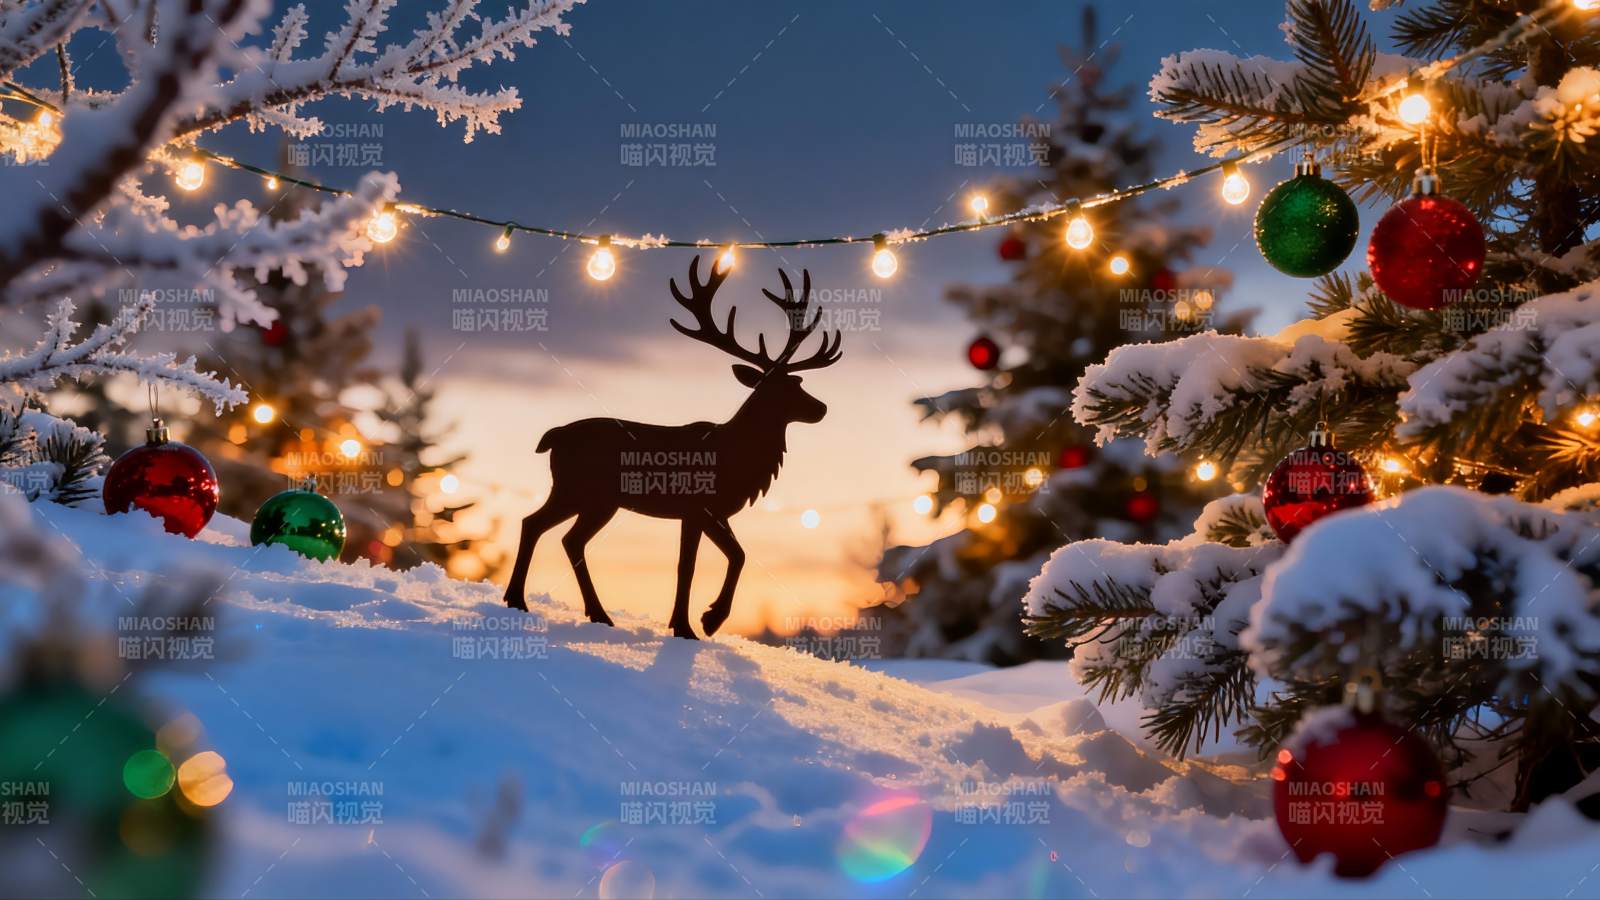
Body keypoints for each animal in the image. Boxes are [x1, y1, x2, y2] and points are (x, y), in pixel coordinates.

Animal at [503, 255, 843, 640]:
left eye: (798, 381)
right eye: (783, 389)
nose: (821, 408)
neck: (736, 455)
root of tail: (554, 436)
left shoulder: (713, 511)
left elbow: (732, 555)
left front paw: (699, 620)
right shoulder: (698, 507)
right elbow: (696, 564)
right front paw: (697, 623)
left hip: (592, 498)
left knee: (559, 534)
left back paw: (589, 613)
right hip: (581, 491)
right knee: (541, 526)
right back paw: (524, 600)